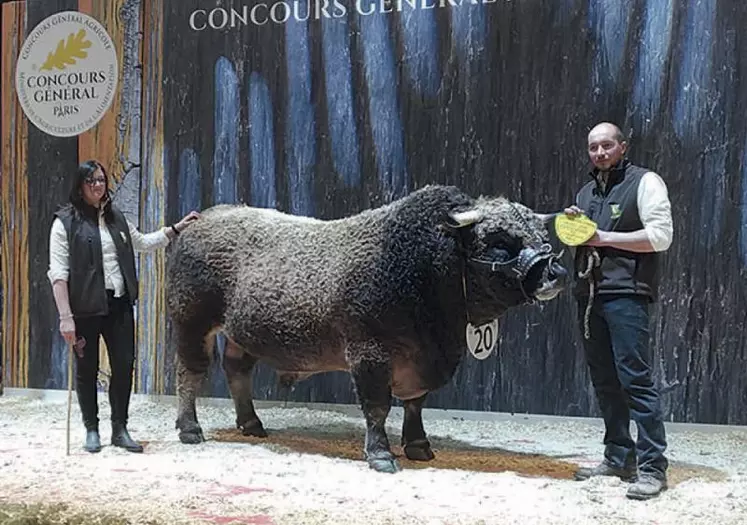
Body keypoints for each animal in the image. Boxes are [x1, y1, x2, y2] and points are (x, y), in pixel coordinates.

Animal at [167, 184, 568, 470]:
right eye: (500, 241)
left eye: (541, 236)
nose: (556, 272)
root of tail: (201, 219)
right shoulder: (370, 353)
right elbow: (378, 407)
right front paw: (381, 454)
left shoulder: (420, 358)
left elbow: (415, 404)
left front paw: (418, 445)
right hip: (192, 322)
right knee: (190, 373)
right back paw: (190, 428)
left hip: (240, 334)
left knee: (237, 371)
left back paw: (251, 423)